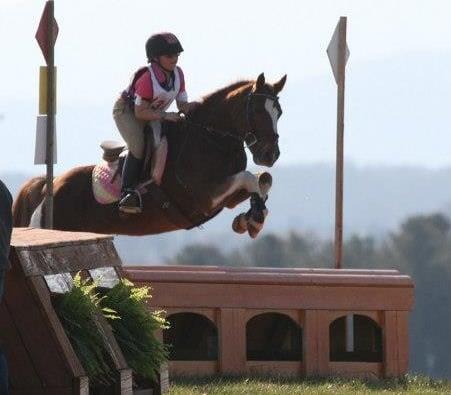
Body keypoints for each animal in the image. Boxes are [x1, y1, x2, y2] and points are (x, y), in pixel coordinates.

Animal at [14, 73, 286, 238]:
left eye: (279, 112)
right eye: (257, 112)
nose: (270, 155)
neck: (212, 137)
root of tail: (48, 186)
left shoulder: (226, 197)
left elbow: (262, 179)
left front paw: (252, 218)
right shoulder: (203, 196)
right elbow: (249, 177)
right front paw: (253, 220)